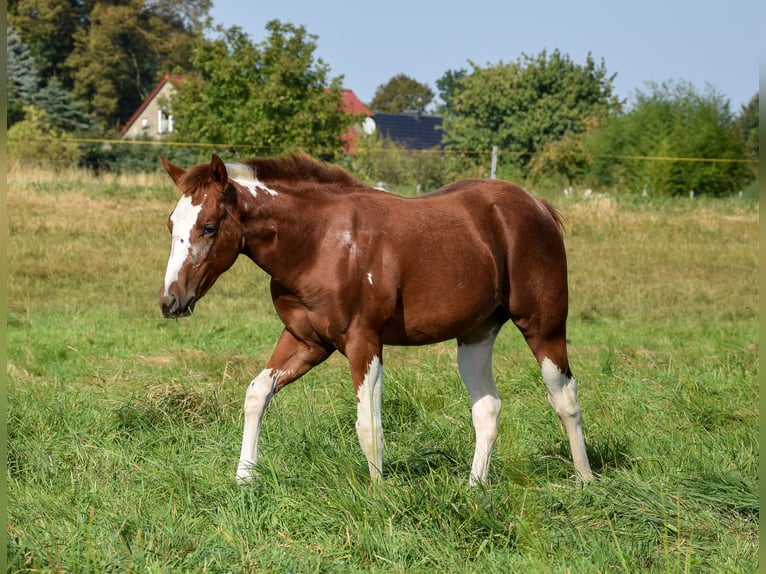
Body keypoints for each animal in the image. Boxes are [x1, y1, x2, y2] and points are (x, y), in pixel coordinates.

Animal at [158, 152, 594, 486]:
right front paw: (244, 479)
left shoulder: (363, 342)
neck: (319, 242)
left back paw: (585, 479)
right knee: (487, 409)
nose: (170, 300)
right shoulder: (305, 341)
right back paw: (474, 487)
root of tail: (538, 207)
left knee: (565, 398)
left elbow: (368, 425)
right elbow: (256, 394)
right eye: (171, 224)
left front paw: (377, 493)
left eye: (209, 226)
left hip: (544, 327)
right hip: (475, 336)